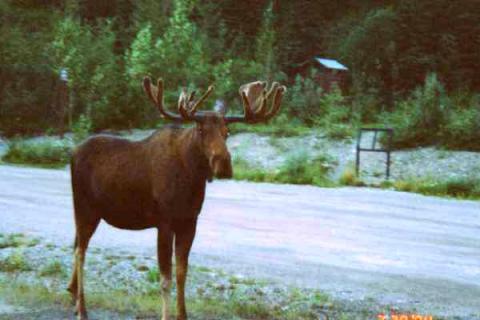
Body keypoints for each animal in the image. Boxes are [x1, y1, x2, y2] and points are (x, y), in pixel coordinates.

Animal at [67, 75, 284, 320]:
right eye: (201, 129)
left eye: (226, 131)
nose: (224, 164)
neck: (191, 177)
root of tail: (72, 153)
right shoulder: (164, 222)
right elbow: (165, 279)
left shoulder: (189, 222)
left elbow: (182, 273)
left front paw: (183, 314)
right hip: (84, 207)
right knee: (80, 251)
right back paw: (82, 308)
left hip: (90, 212)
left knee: (76, 244)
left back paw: (73, 295)